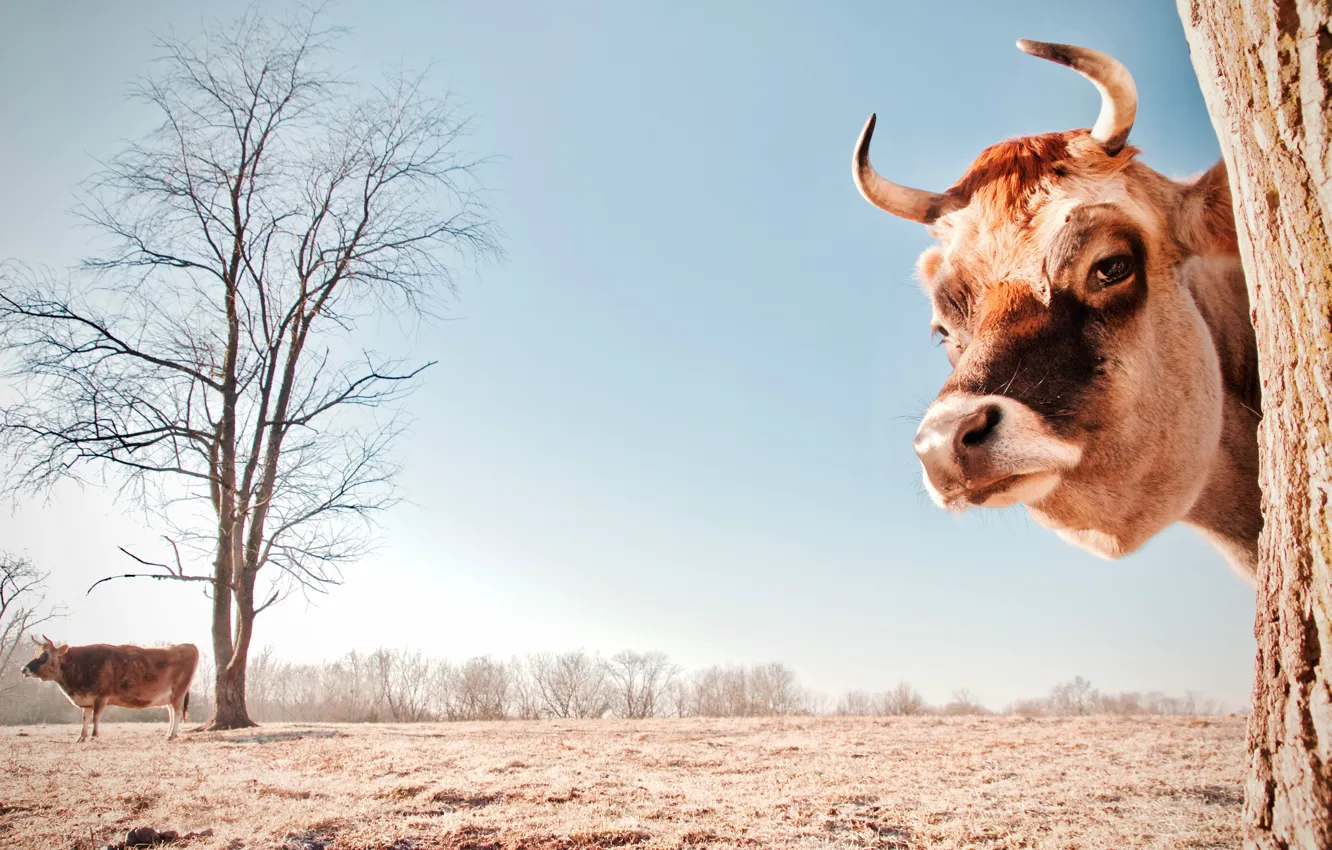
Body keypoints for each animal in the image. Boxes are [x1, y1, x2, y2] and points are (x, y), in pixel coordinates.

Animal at [21, 636, 197, 740]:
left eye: (44, 656)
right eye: (35, 653)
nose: (24, 669)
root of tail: (188, 645)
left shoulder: (101, 696)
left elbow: (96, 717)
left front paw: (94, 736)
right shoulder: (87, 699)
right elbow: (85, 717)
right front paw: (82, 737)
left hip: (178, 692)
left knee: (177, 712)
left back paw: (172, 735)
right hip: (168, 696)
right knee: (172, 713)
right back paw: (169, 734)